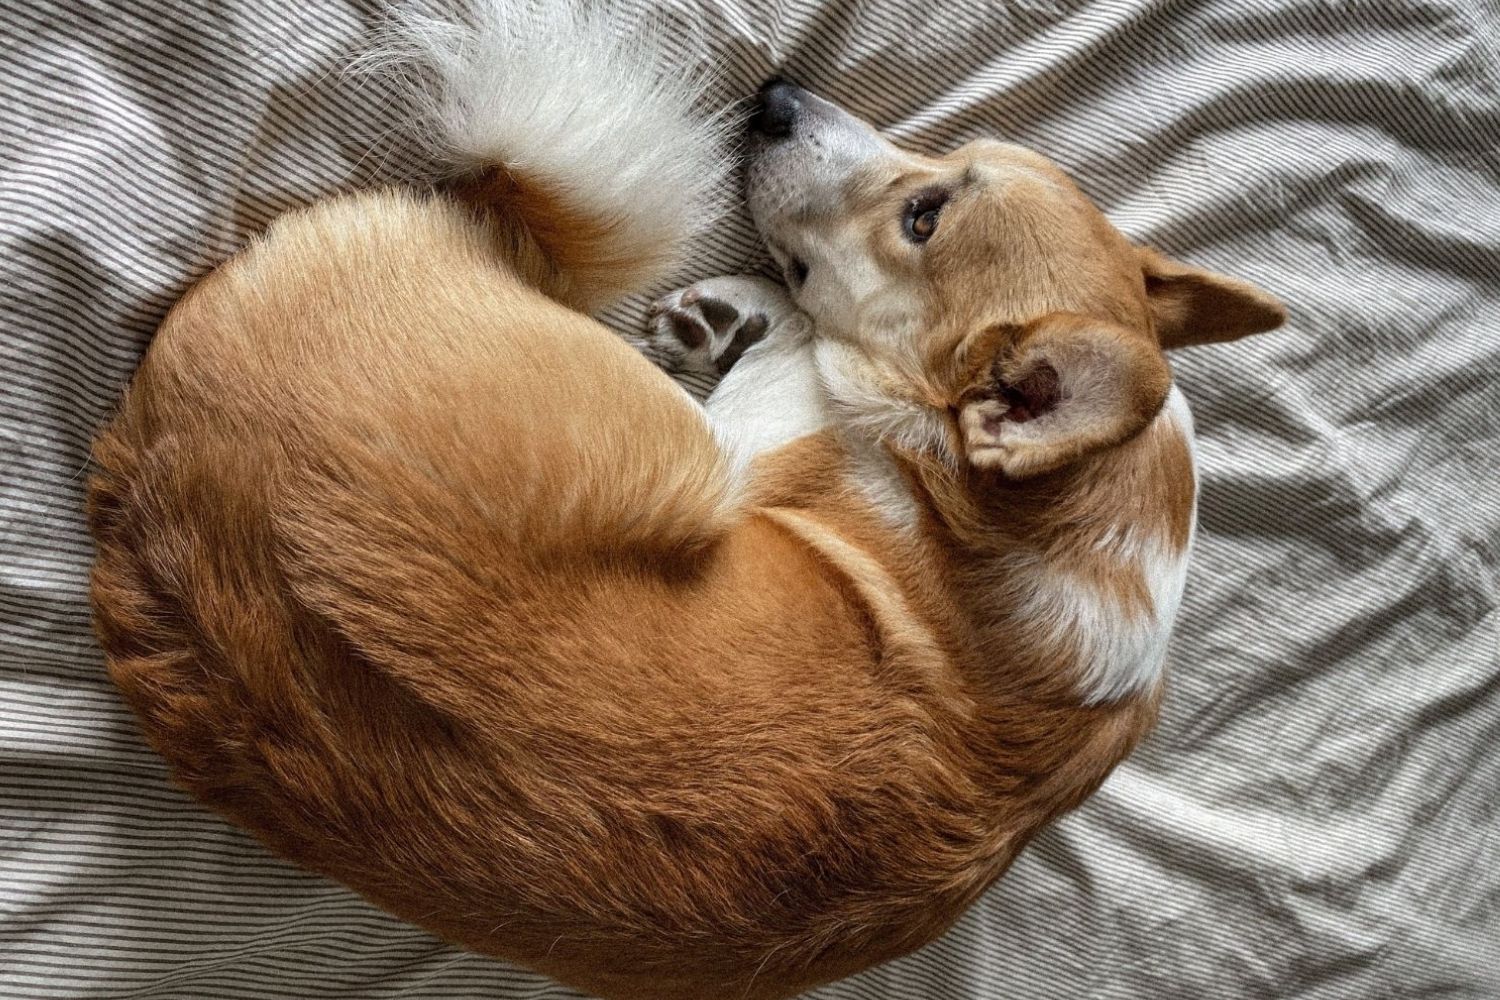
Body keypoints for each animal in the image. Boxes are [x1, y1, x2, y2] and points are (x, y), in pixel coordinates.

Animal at [85, 1, 1278, 1000]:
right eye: (941, 169)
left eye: (924, 216)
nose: (776, 94)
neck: (1055, 512)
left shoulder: (765, 435)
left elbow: (800, 338)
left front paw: (749, 311)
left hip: (677, 445)